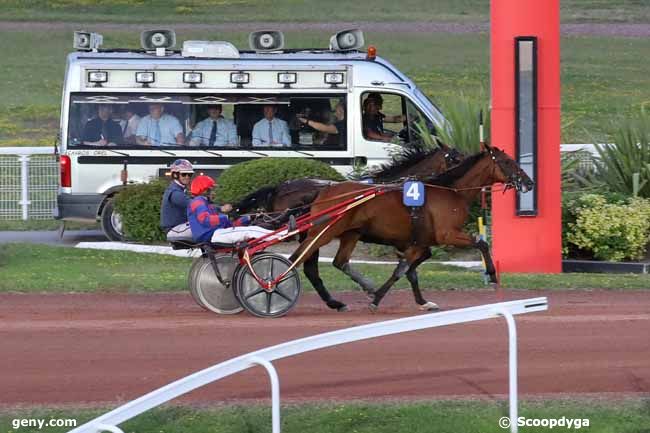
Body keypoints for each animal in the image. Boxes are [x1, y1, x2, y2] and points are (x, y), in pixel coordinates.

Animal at [288, 143, 532, 312]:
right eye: (507, 162)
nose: (529, 183)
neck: (450, 191)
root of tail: (323, 190)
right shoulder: (447, 234)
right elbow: (481, 243)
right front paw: (491, 274)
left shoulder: (417, 241)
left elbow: (405, 269)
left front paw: (414, 300)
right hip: (324, 232)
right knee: (297, 260)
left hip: (350, 234)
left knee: (335, 262)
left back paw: (336, 301)